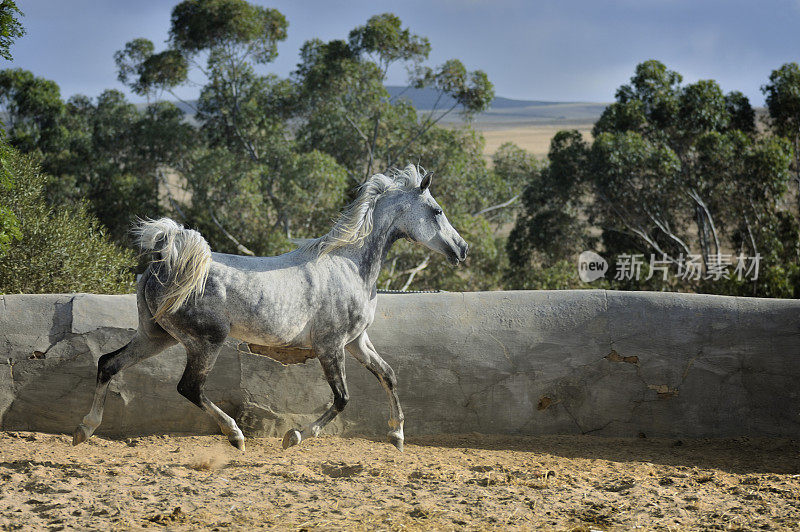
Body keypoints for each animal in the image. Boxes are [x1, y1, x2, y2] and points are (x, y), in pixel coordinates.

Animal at [73, 164, 468, 450]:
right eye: (437, 210)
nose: (462, 249)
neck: (350, 265)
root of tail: (160, 265)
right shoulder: (330, 346)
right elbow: (342, 398)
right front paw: (294, 436)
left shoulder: (356, 342)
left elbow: (388, 375)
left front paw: (397, 436)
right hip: (206, 341)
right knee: (189, 388)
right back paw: (235, 436)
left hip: (156, 336)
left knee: (109, 363)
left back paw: (85, 429)